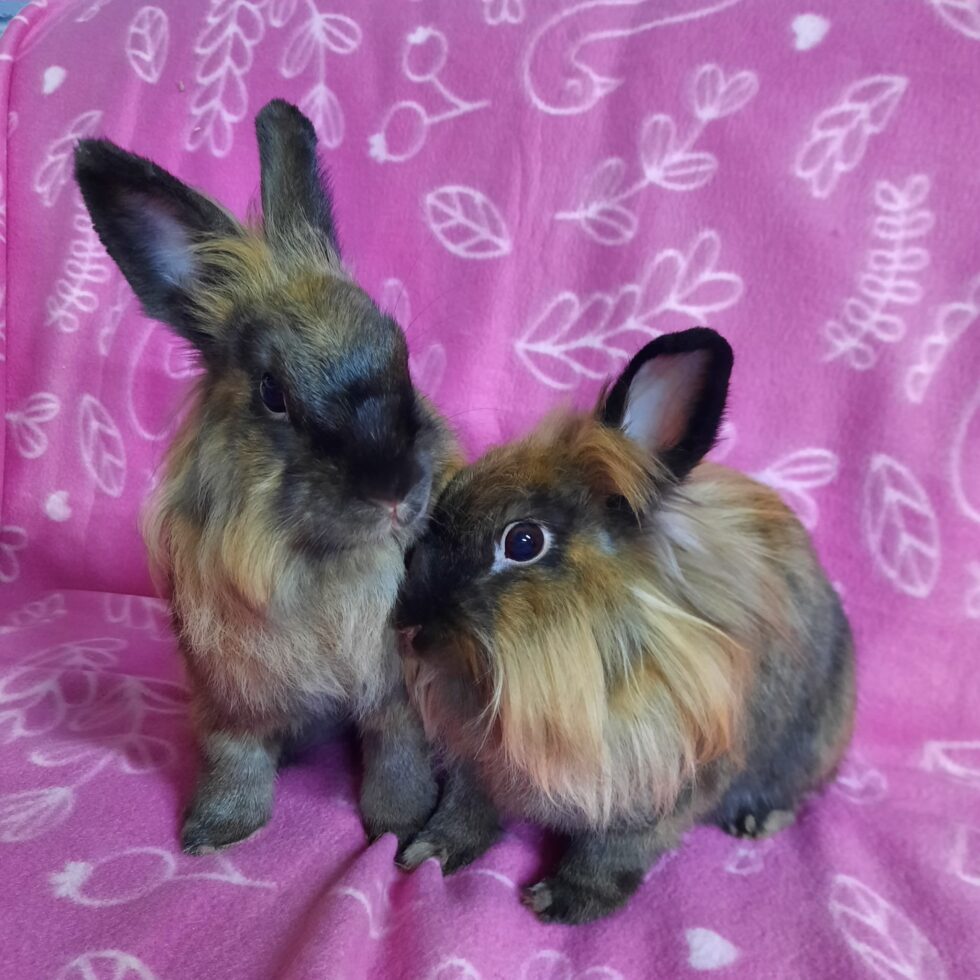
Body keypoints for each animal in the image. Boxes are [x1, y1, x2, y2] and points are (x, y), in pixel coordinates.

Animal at [74, 99, 460, 855]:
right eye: (272, 394)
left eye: (400, 352)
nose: (396, 493)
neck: (319, 565)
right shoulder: (228, 690)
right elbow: (235, 756)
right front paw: (216, 832)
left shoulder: (396, 691)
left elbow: (396, 753)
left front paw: (399, 826)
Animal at [395, 327, 855, 924]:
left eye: (523, 541)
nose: (409, 624)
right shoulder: (477, 766)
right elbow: (465, 810)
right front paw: (429, 852)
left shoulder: (656, 792)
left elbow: (610, 854)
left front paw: (559, 902)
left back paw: (756, 822)